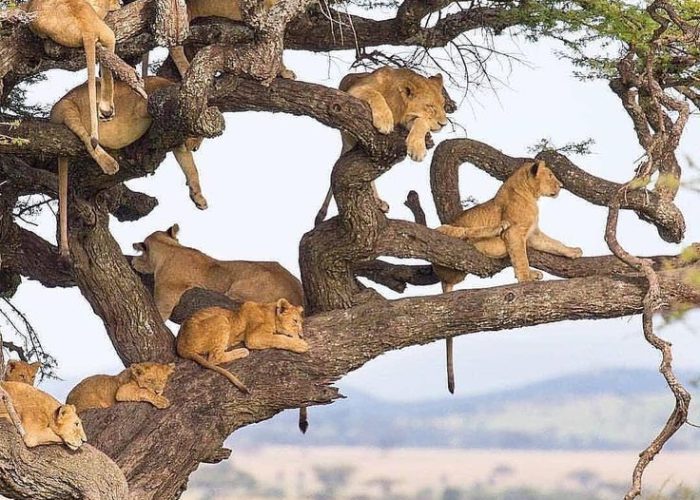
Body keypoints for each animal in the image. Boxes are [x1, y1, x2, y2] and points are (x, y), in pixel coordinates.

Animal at [51, 76, 206, 258]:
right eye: (195, 133)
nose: (194, 148)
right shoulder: (144, 106)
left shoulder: (177, 144)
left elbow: (192, 169)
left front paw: (198, 197)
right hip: (68, 108)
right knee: (88, 139)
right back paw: (109, 163)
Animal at [176, 299, 308, 392]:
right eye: (295, 321)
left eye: (302, 323)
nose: (301, 335)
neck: (270, 312)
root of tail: (180, 345)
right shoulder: (253, 337)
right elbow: (278, 338)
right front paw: (300, 344)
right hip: (221, 319)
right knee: (214, 357)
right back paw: (241, 351)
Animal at [316, 67, 449, 220]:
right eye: (430, 106)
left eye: (443, 105)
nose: (444, 124)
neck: (396, 103)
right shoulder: (354, 92)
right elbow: (375, 94)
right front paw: (385, 121)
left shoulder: (406, 122)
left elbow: (422, 122)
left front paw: (417, 148)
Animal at [434, 160, 583, 393]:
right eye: (550, 175)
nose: (561, 185)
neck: (530, 195)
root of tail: (443, 279)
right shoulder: (516, 234)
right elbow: (521, 258)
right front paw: (526, 278)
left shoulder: (533, 235)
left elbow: (553, 243)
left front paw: (572, 251)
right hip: (447, 234)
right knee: (462, 232)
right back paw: (496, 228)